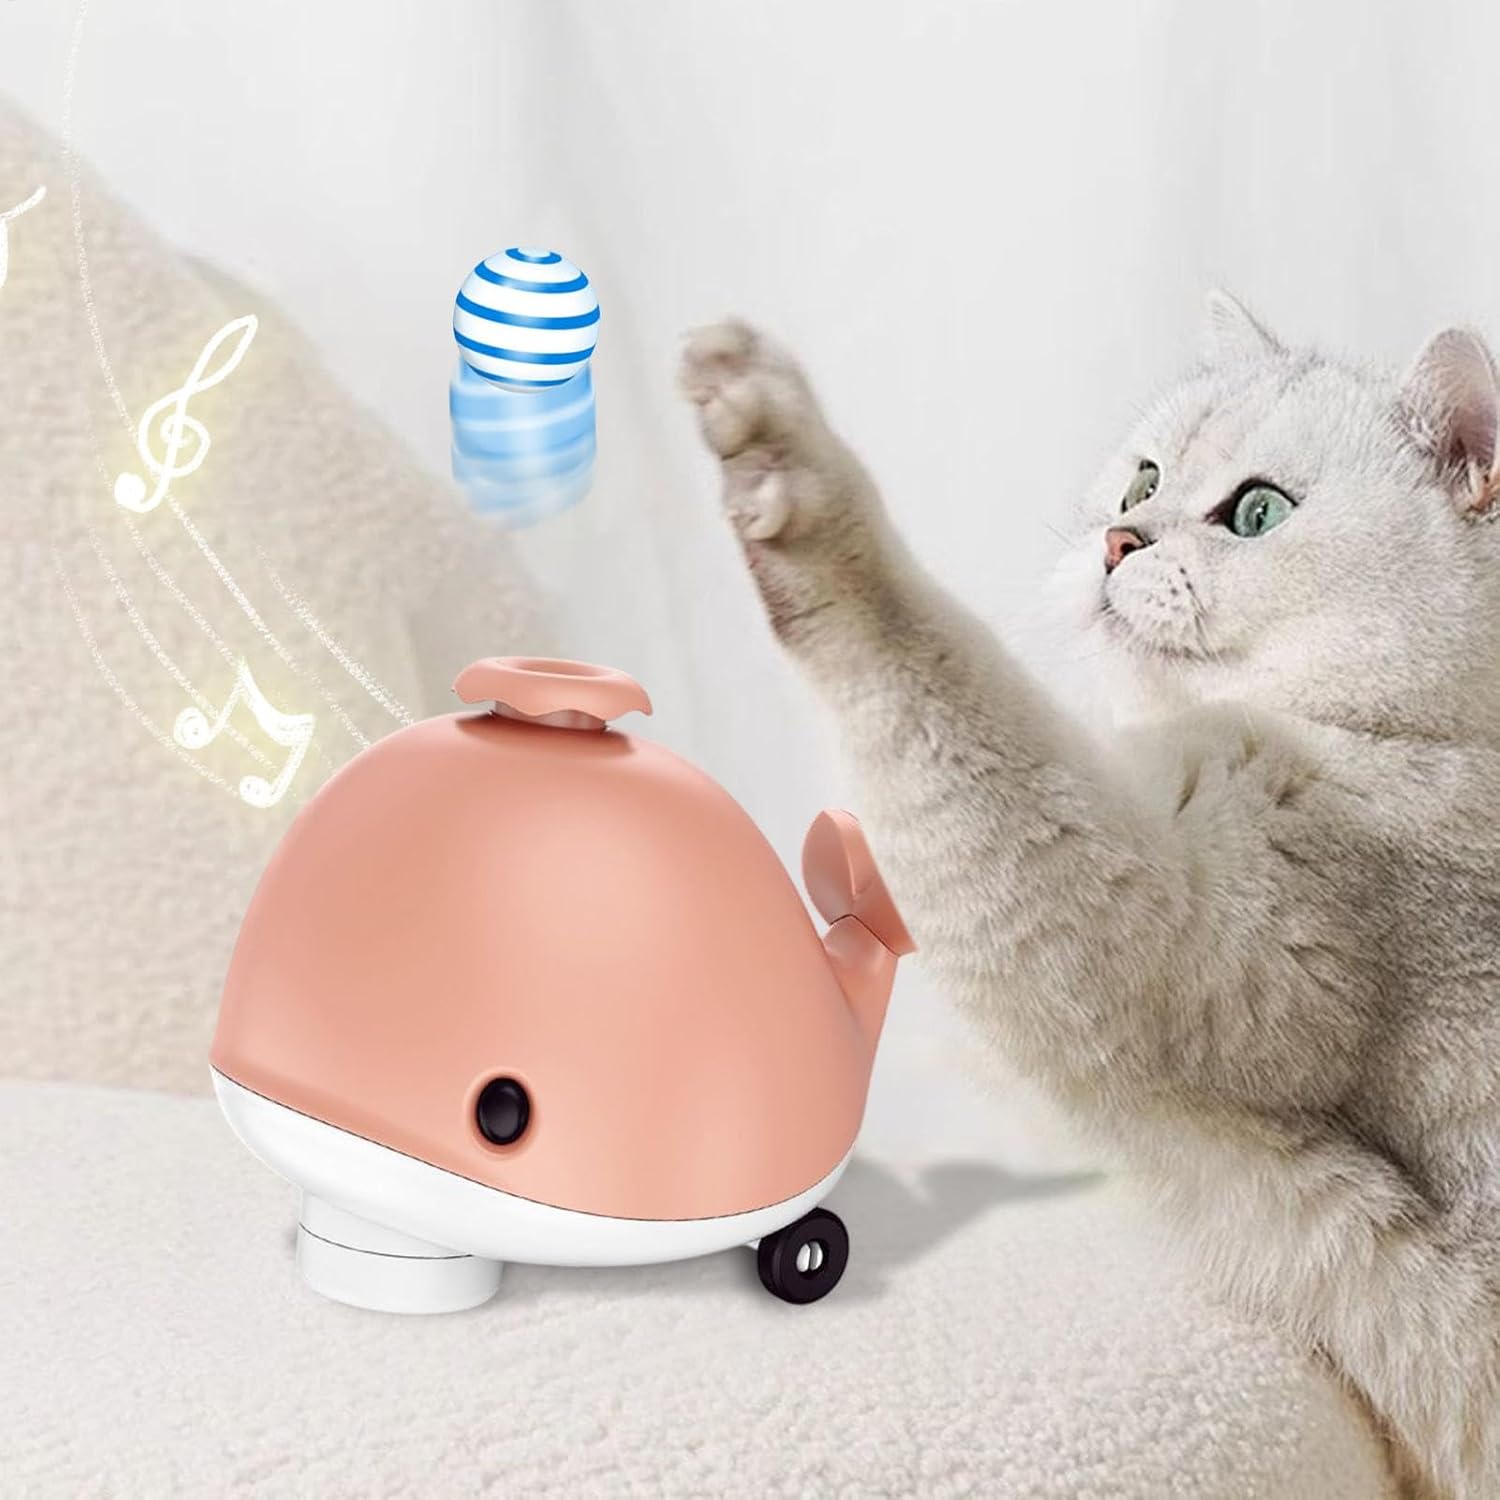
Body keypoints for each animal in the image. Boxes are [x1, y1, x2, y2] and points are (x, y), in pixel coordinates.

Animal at [679, 294, 1500, 1500]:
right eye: (1139, 482)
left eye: (1256, 512)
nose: (1120, 541)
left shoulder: (1169, 922)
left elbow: (931, 677)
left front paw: (793, 475)